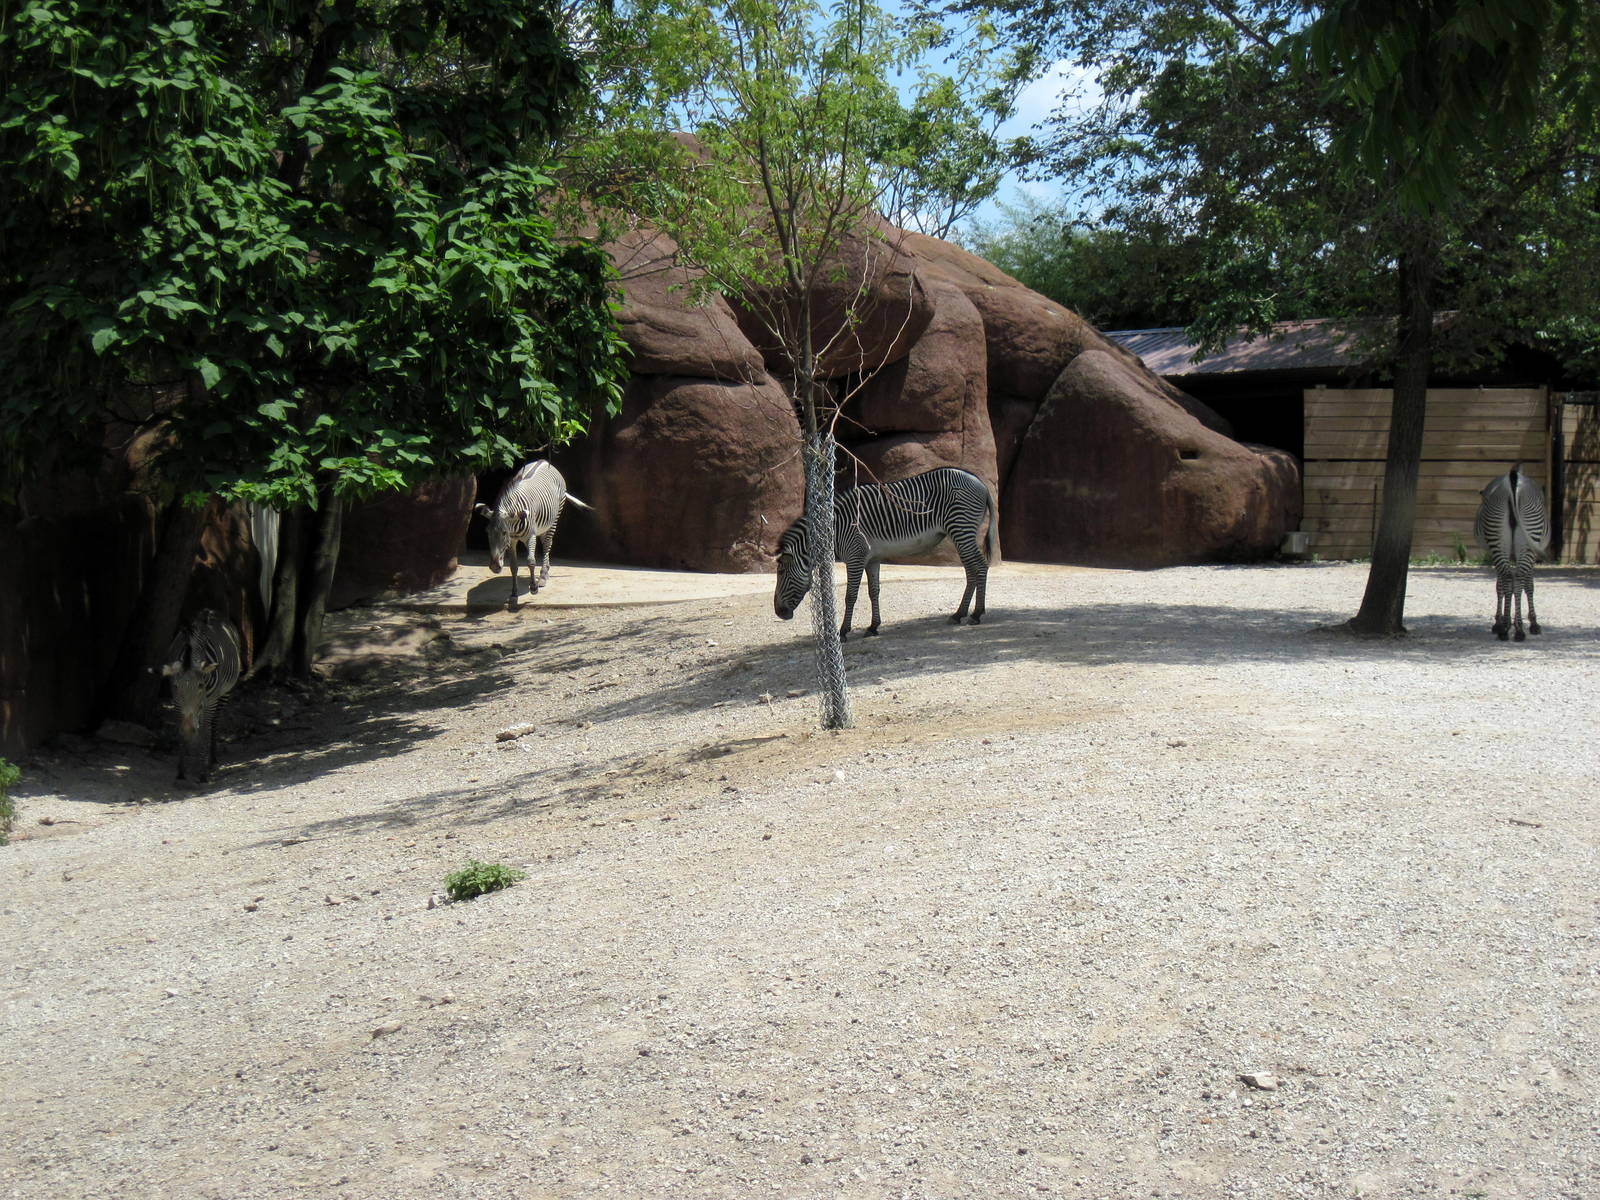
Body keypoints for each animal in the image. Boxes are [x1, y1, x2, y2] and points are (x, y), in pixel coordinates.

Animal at [161, 609, 243, 784]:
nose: (189, 728)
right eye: (176, 686)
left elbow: (205, 730)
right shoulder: (177, 701)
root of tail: (212, 611)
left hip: (223, 694)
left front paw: (202, 772)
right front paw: (181, 770)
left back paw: (211, 760)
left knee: (213, 724)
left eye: (200, 685)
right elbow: (181, 730)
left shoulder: (210, 702)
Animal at [474, 460, 592, 608]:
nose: (495, 567)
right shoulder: (512, 541)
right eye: (487, 533)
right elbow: (513, 566)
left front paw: (534, 587)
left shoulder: (530, 536)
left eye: (504, 533)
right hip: (542, 526)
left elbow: (531, 561)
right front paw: (514, 595)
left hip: (554, 518)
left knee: (547, 544)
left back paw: (542, 576)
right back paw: (546, 572)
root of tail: (545, 462)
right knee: (544, 541)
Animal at [774, 466, 999, 638]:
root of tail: (980, 483)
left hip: (961, 528)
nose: (778, 612)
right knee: (971, 570)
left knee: (980, 566)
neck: (833, 530)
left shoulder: (855, 555)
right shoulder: (872, 558)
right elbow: (874, 591)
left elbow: (851, 595)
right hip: (960, 533)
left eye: (781, 572)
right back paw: (959, 614)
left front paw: (843, 631)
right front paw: (873, 627)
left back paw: (977, 614)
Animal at [1474, 462, 1551, 642]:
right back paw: (1517, 629)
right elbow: (1528, 585)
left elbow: (1501, 585)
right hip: (1528, 539)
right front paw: (1533, 622)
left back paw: (1506, 629)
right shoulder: (1532, 553)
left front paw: (1501, 621)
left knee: (1509, 577)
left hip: (1498, 541)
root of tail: (1513, 479)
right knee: (1519, 578)